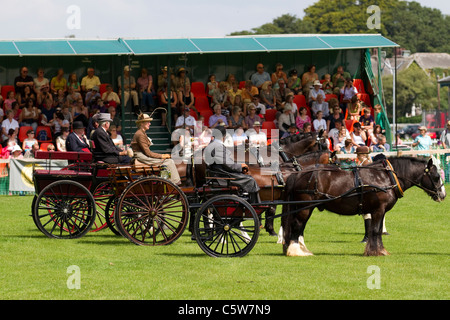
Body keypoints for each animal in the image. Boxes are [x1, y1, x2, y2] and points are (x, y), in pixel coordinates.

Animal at [282, 156, 446, 256]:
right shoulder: (378, 210)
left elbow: (378, 231)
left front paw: (380, 250)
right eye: (437, 177)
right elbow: (375, 230)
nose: (443, 195)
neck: (386, 177)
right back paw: (296, 251)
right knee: (297, 225)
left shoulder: (380, 211)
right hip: (305, 207)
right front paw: (374, 252)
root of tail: (297, 174)